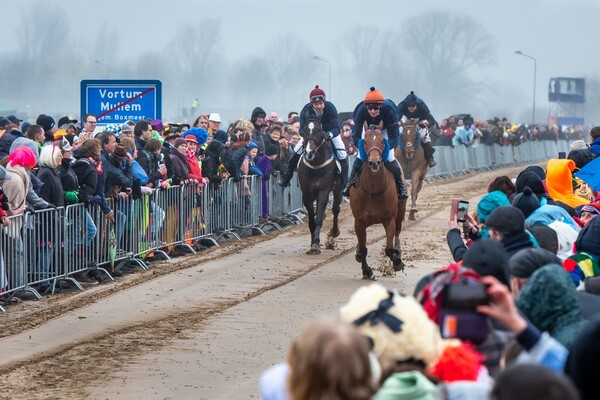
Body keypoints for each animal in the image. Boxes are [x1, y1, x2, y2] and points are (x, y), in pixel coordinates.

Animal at [350, 122, 410, 278]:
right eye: (365, 141)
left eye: (382, 142)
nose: (374, 163)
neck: (373, 189)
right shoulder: (359, 221)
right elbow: (363, 249)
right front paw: (366, 270)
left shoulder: (389, 219)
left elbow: (389, 248)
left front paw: (397, 261)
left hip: (400, 212)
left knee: (397, 232)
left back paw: (398, 253)